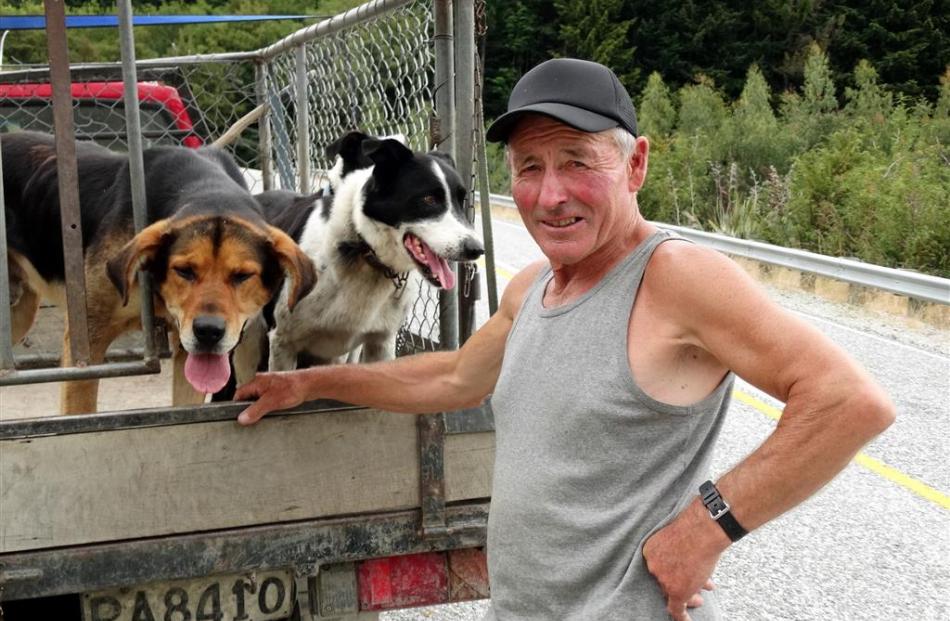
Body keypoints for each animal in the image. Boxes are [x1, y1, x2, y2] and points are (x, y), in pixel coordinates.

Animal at [3, 130, 316, 412]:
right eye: (184, 270)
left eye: (242, 275)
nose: (209, 332)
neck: (208, 189)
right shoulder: (87, 347)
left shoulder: (191, 352)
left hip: (20, 314)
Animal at [231, 131, 484, 378]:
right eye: (429, 199)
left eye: (462, 201)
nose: (476, 250)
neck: (362, 249)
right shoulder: (283, 343)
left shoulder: (377, 344)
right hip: (248, 344)